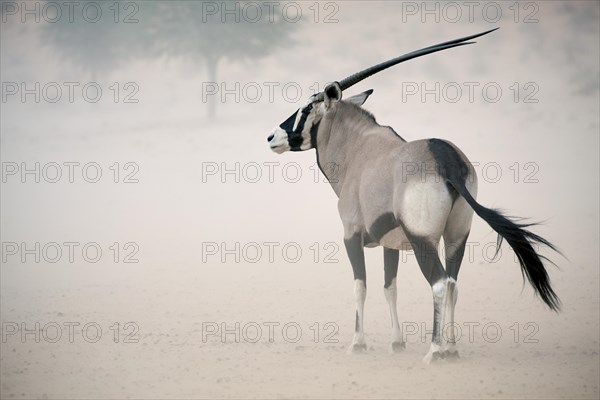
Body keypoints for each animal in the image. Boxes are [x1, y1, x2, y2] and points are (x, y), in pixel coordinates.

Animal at [264, 29, 560, 364]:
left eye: (305, 109)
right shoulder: (389, 242)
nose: (272, 137)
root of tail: (447, 160)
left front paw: (358, 343)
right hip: (457, 236)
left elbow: (361, 286)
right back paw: (451, 349)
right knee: (454, 283)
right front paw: (396, 342)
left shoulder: (351, 234)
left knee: (440, 283)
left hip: (423, 240)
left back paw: (434, 351)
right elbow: (389, 286)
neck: (356, 148)